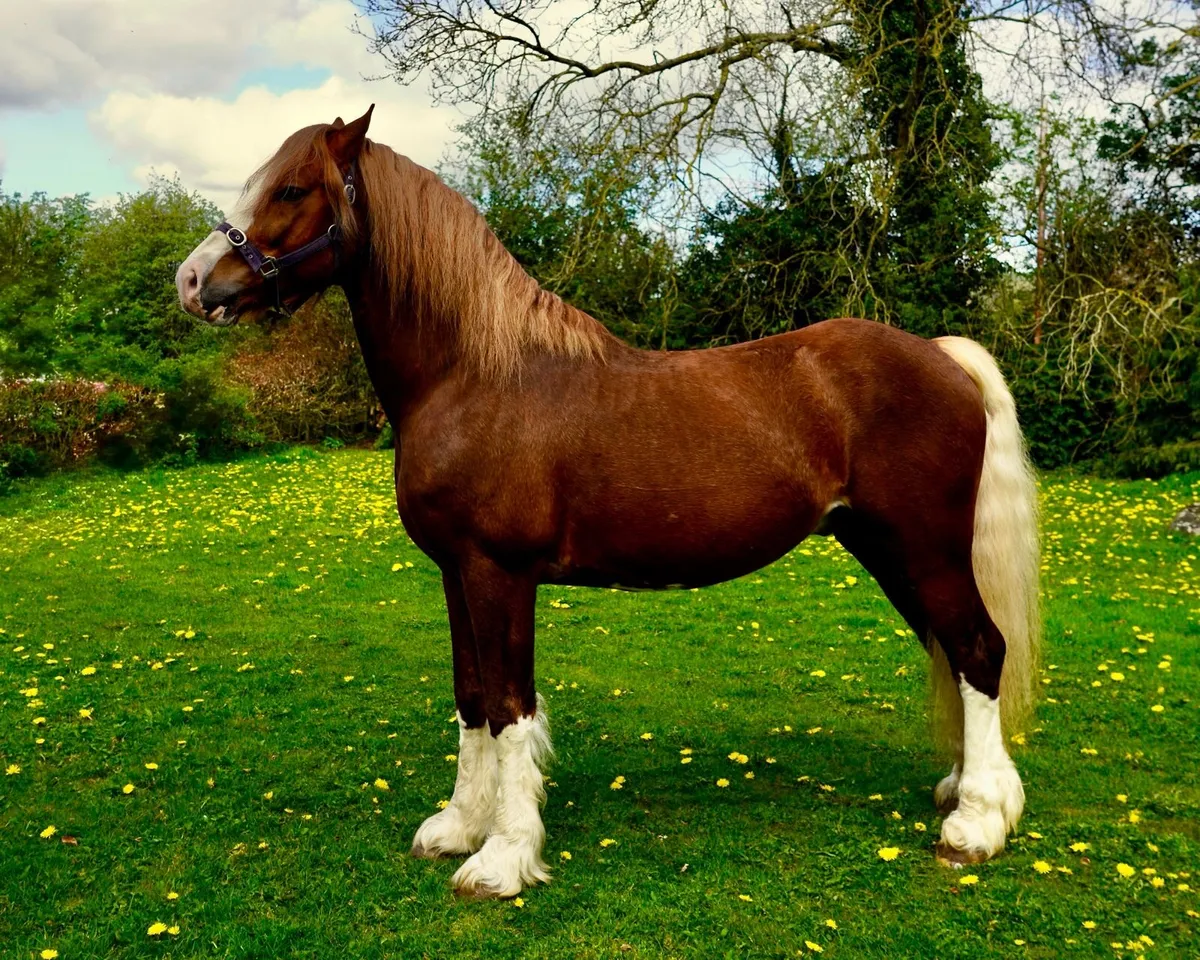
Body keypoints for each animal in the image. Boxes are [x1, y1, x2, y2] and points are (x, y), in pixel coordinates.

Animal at [176, 106, 1040, 899]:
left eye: (292, 188)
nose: (191, 281)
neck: (475, 374)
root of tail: (941, 356)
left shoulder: (500, 574)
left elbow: (509, 705)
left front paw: (503, 858)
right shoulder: (455, 573)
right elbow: (470, 696)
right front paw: (459, 825)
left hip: (924, 549)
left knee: (977, 649)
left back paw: (976, 822)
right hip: (889, 550)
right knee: (951, 650)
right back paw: (965, 791)